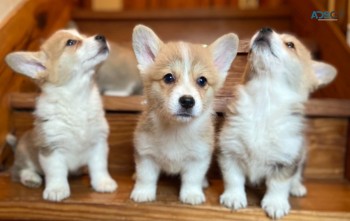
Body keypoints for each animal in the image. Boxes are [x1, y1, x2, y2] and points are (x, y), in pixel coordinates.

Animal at [5, 29, 117, 202]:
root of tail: (17, 146)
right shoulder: (51, 149)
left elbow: (99, 166)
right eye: (71, 42)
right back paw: (31, 178)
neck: (77, 97)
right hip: (24, 154)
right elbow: (56, 172)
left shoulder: (98, 143)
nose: (101, 37)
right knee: (18, 171)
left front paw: (103, 183)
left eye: (84, 36)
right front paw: (57, 190)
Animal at [130, 25, 239, 205]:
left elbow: (192, 179)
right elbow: (146, 177)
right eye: (168, 77)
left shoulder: (199, 158)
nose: (187, 101)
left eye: (202, 81)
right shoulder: (146, 154)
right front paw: (143, 193)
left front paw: (192, 195)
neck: (176, 129)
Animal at [219, 26, 336, 218]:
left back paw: (297, 187)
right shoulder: (230, 151)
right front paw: (234, 197)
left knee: (296, 176)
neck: (264, 100)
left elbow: (278, 185)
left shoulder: (285, 160)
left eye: (290, 44)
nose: (265, 29)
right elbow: (233, 178)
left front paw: (275, 204)